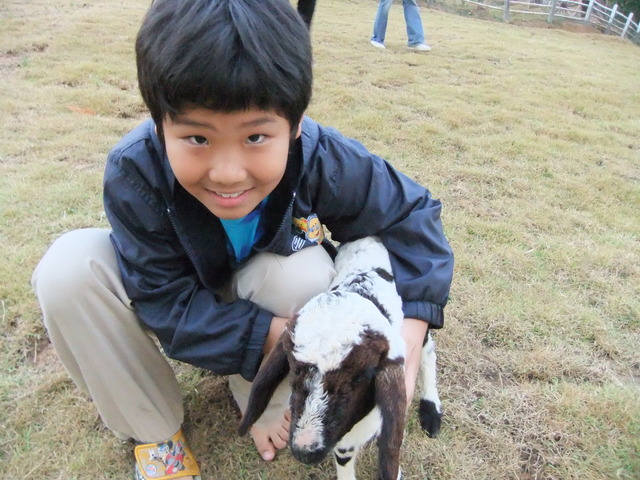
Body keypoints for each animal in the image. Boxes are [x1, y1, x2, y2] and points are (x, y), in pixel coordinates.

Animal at [238, 236, 442, 480]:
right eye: (294, 370)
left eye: (358, 379)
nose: (305, 451)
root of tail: (370, 238)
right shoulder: (344, 437)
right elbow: (344, 456)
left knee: (427, 348)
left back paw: (431, 410)